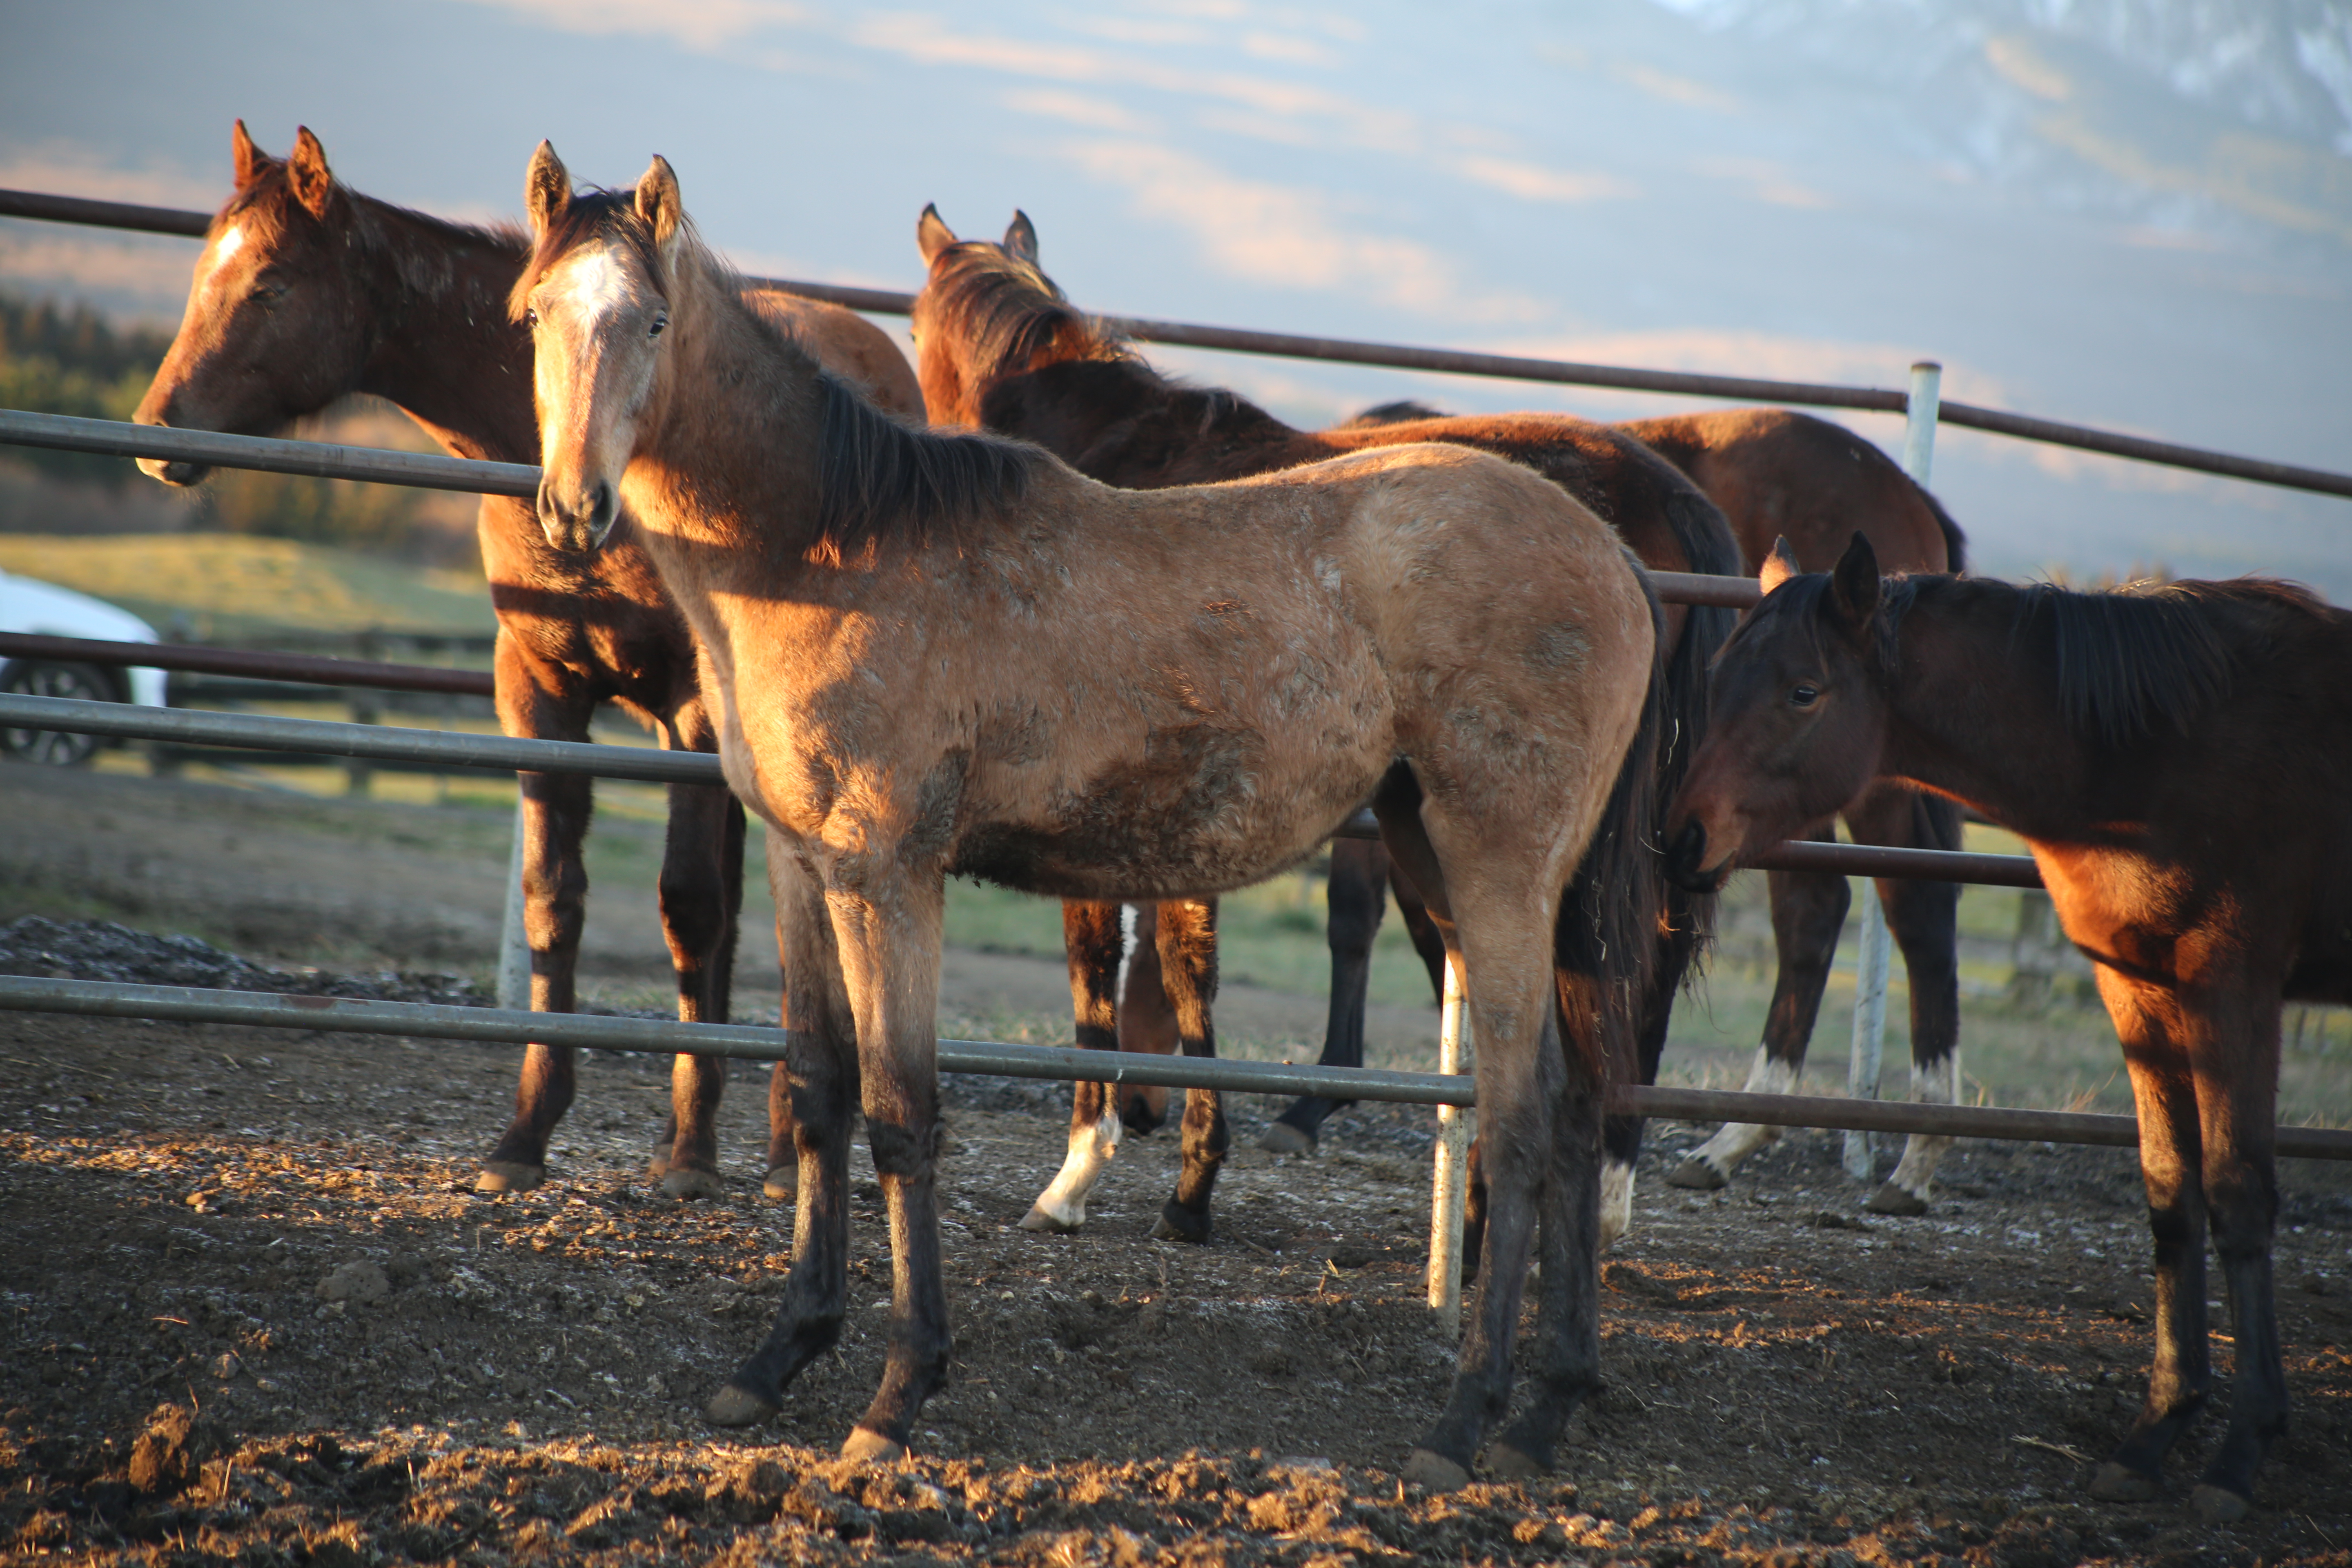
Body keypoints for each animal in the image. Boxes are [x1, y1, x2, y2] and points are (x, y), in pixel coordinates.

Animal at [126, 122, 917, 1203]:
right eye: (208, 265)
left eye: (272, 284)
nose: (156, 434)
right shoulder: (538, 692)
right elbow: (555, 898)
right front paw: (527, 1132)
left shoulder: (689, 706)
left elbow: (687, 906)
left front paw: (687, 1151)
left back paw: (768, 1145)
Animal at [515, 147, 1665, 1486]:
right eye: (535, 315)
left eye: (651, 321)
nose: (575, 508)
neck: (828, 545)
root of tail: (1615, 559)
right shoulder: (809, 868)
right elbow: (818, 1093)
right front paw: (776, 1358)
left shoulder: (891, 872)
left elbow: (902, 1113)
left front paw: (897, 1394)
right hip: (1461, 863)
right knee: (1577, 1113)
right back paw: (1547, 1406)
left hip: (1497, 868)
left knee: (1521, 1120)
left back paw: (1465, 1418)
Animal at [1665, 536, 2342, 1523]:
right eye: (1717, 679)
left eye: (1803, 691)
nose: (1682, 839)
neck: (2158, 746)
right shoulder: (2139, 989)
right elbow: (2170, 1192)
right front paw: (2156, 1432)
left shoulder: (2234, 985)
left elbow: (2238, 1194)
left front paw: (2239, 1453)